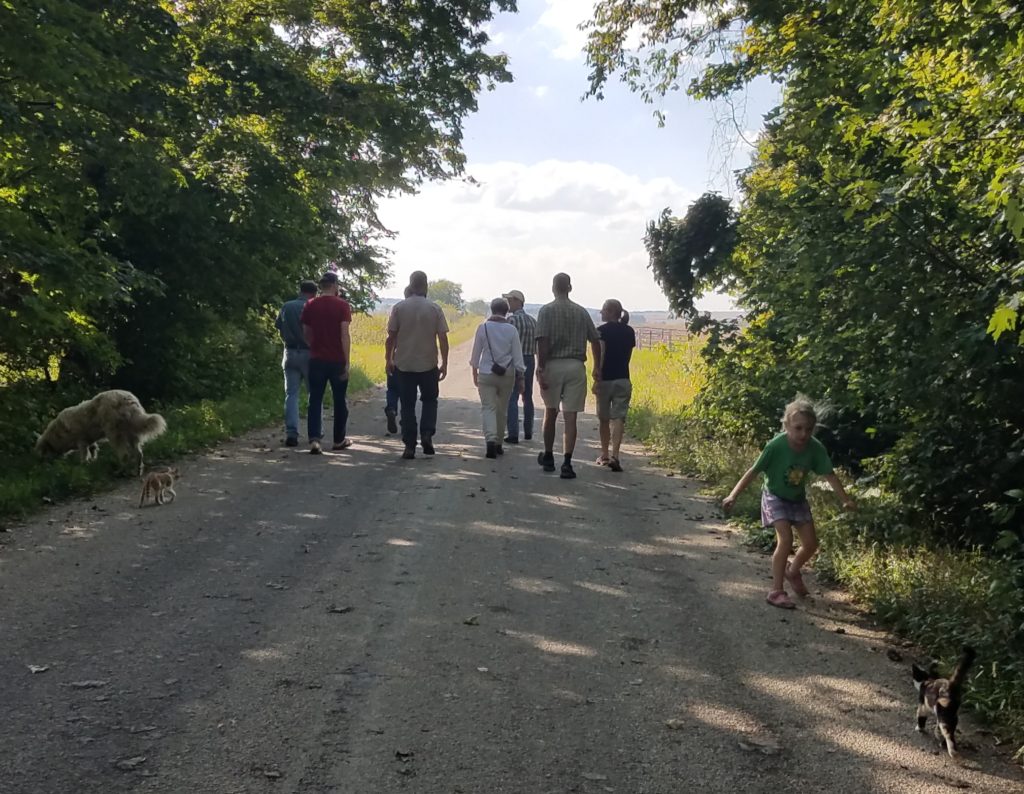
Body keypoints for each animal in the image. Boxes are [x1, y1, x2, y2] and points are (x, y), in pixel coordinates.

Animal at [34, 389, 166, 475]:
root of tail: (128, 399)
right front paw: (92, 462)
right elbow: (93, 450)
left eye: (42, 452)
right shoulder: (89, 441)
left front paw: (84, 465)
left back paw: (120, 471)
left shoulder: (81, 441)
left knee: (124, 455)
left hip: (114, 434)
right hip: (131, 433)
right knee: (138, 454)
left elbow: (84, 455)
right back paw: (137, 471)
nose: (40, 463)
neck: (57, 433)